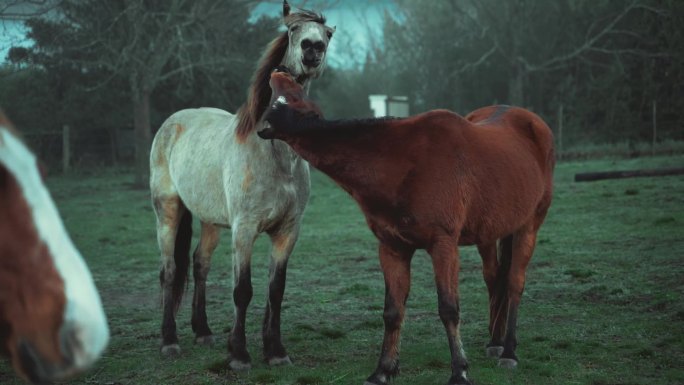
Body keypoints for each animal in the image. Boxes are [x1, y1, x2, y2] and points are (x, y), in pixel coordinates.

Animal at [150, 0, 334, 372]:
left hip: (210, 221)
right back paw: (170, 341)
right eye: (293, 30)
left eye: (328, 34)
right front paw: (239, 354)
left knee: (199, 264)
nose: (313, 49)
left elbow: (275, 290)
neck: (273, 154)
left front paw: (275, 350)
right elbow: (243, 290)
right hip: (168, 212)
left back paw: (203, 332)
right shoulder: (244, 229)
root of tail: (172, 122)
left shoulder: (287, 231)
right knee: (170, 271)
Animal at [258, 70, 556, 384]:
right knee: (494, 278)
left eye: (290, 97)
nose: (261, 125)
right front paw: (383, 370)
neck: (402, 162)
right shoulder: (393, 247)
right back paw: (496, 342)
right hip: (488, 234)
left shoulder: (443, 246)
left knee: (514, 283)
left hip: (529, 226)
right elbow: (393, 311)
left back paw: (509, 351)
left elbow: (448, 308)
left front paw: (459, 371)